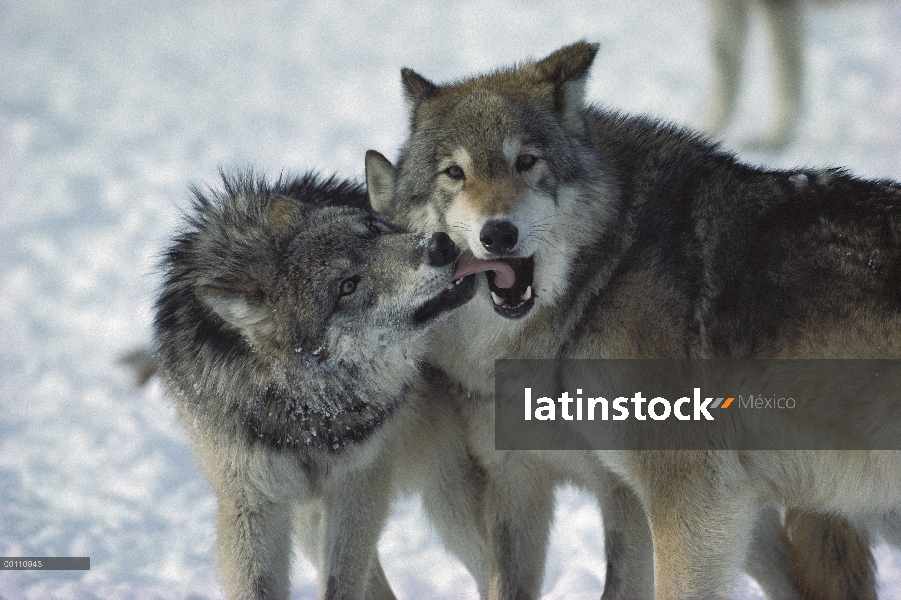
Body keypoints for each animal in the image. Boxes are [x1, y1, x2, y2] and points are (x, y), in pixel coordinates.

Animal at [153, 171, 486, 596]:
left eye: (373, 230)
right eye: (347, 286)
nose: (439, 246)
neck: (305, 413)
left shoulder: (360, 481)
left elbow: (342, 583)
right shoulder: (251, 502)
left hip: (448, 497)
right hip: (311, 521)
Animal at [364, 43, 900, 600]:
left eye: (526, 162)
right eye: (454, 173)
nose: (498, 234)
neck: (610, 269)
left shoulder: (685, 496)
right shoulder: (521, 482)